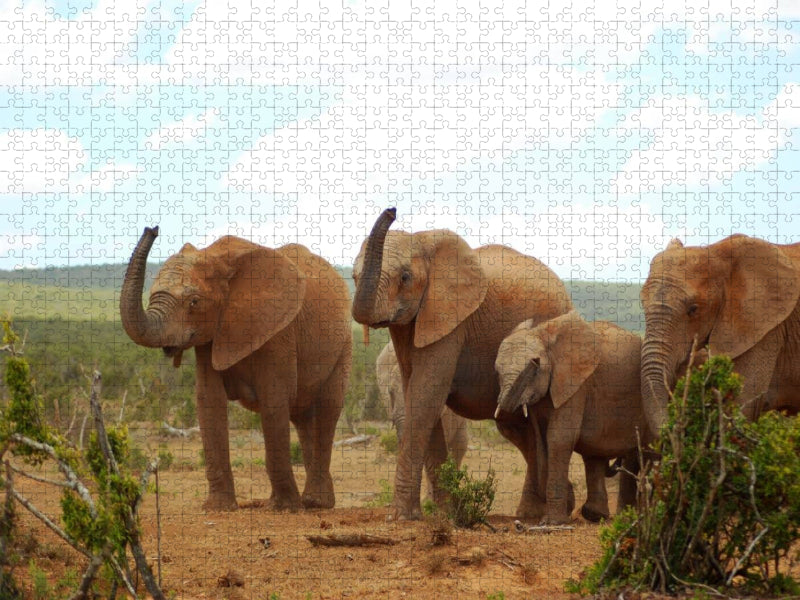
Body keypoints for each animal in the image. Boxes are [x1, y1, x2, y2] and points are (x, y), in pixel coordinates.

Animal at [120, 227, 352, 511]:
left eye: (194, 302)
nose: (152, 229)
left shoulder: (279, 330)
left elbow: (274, 400)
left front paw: (284, 508)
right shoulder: (211, 335)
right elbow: (209, 400)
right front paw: (218, 507)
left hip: (343, 344)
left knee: (328, 408)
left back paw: (315, 503)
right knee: (303, 418)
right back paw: (308, 501)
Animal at [494, 311, 647, 524]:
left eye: (536, 366)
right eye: (497, 372)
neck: (543, 333)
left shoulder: (575, 384)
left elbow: (559, 438)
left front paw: (552, 522)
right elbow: (541, 440)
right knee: (594, 453)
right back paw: (595, 515)